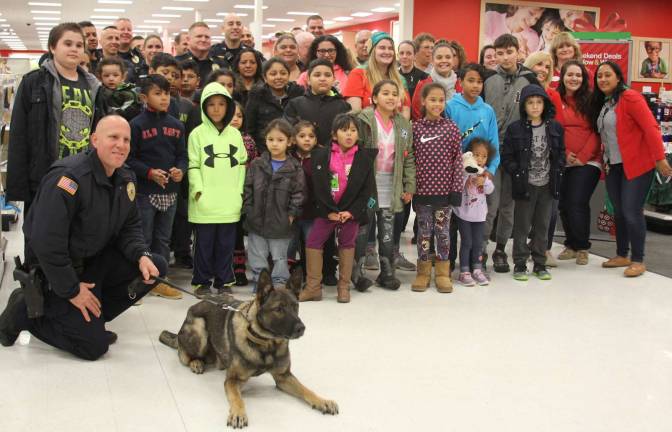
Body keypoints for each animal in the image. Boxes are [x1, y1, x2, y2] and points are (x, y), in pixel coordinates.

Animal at [158, 270, 336, 428]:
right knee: (183, 354)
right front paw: (238, 413)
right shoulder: (233, 380)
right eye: (278, 309)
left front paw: (322, 401)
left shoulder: (283, 377)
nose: (302, 328)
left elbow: (306, 389)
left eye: (295, 306)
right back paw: (196, 362)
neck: (266, 344)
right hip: (199, 329)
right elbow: (237, 398)